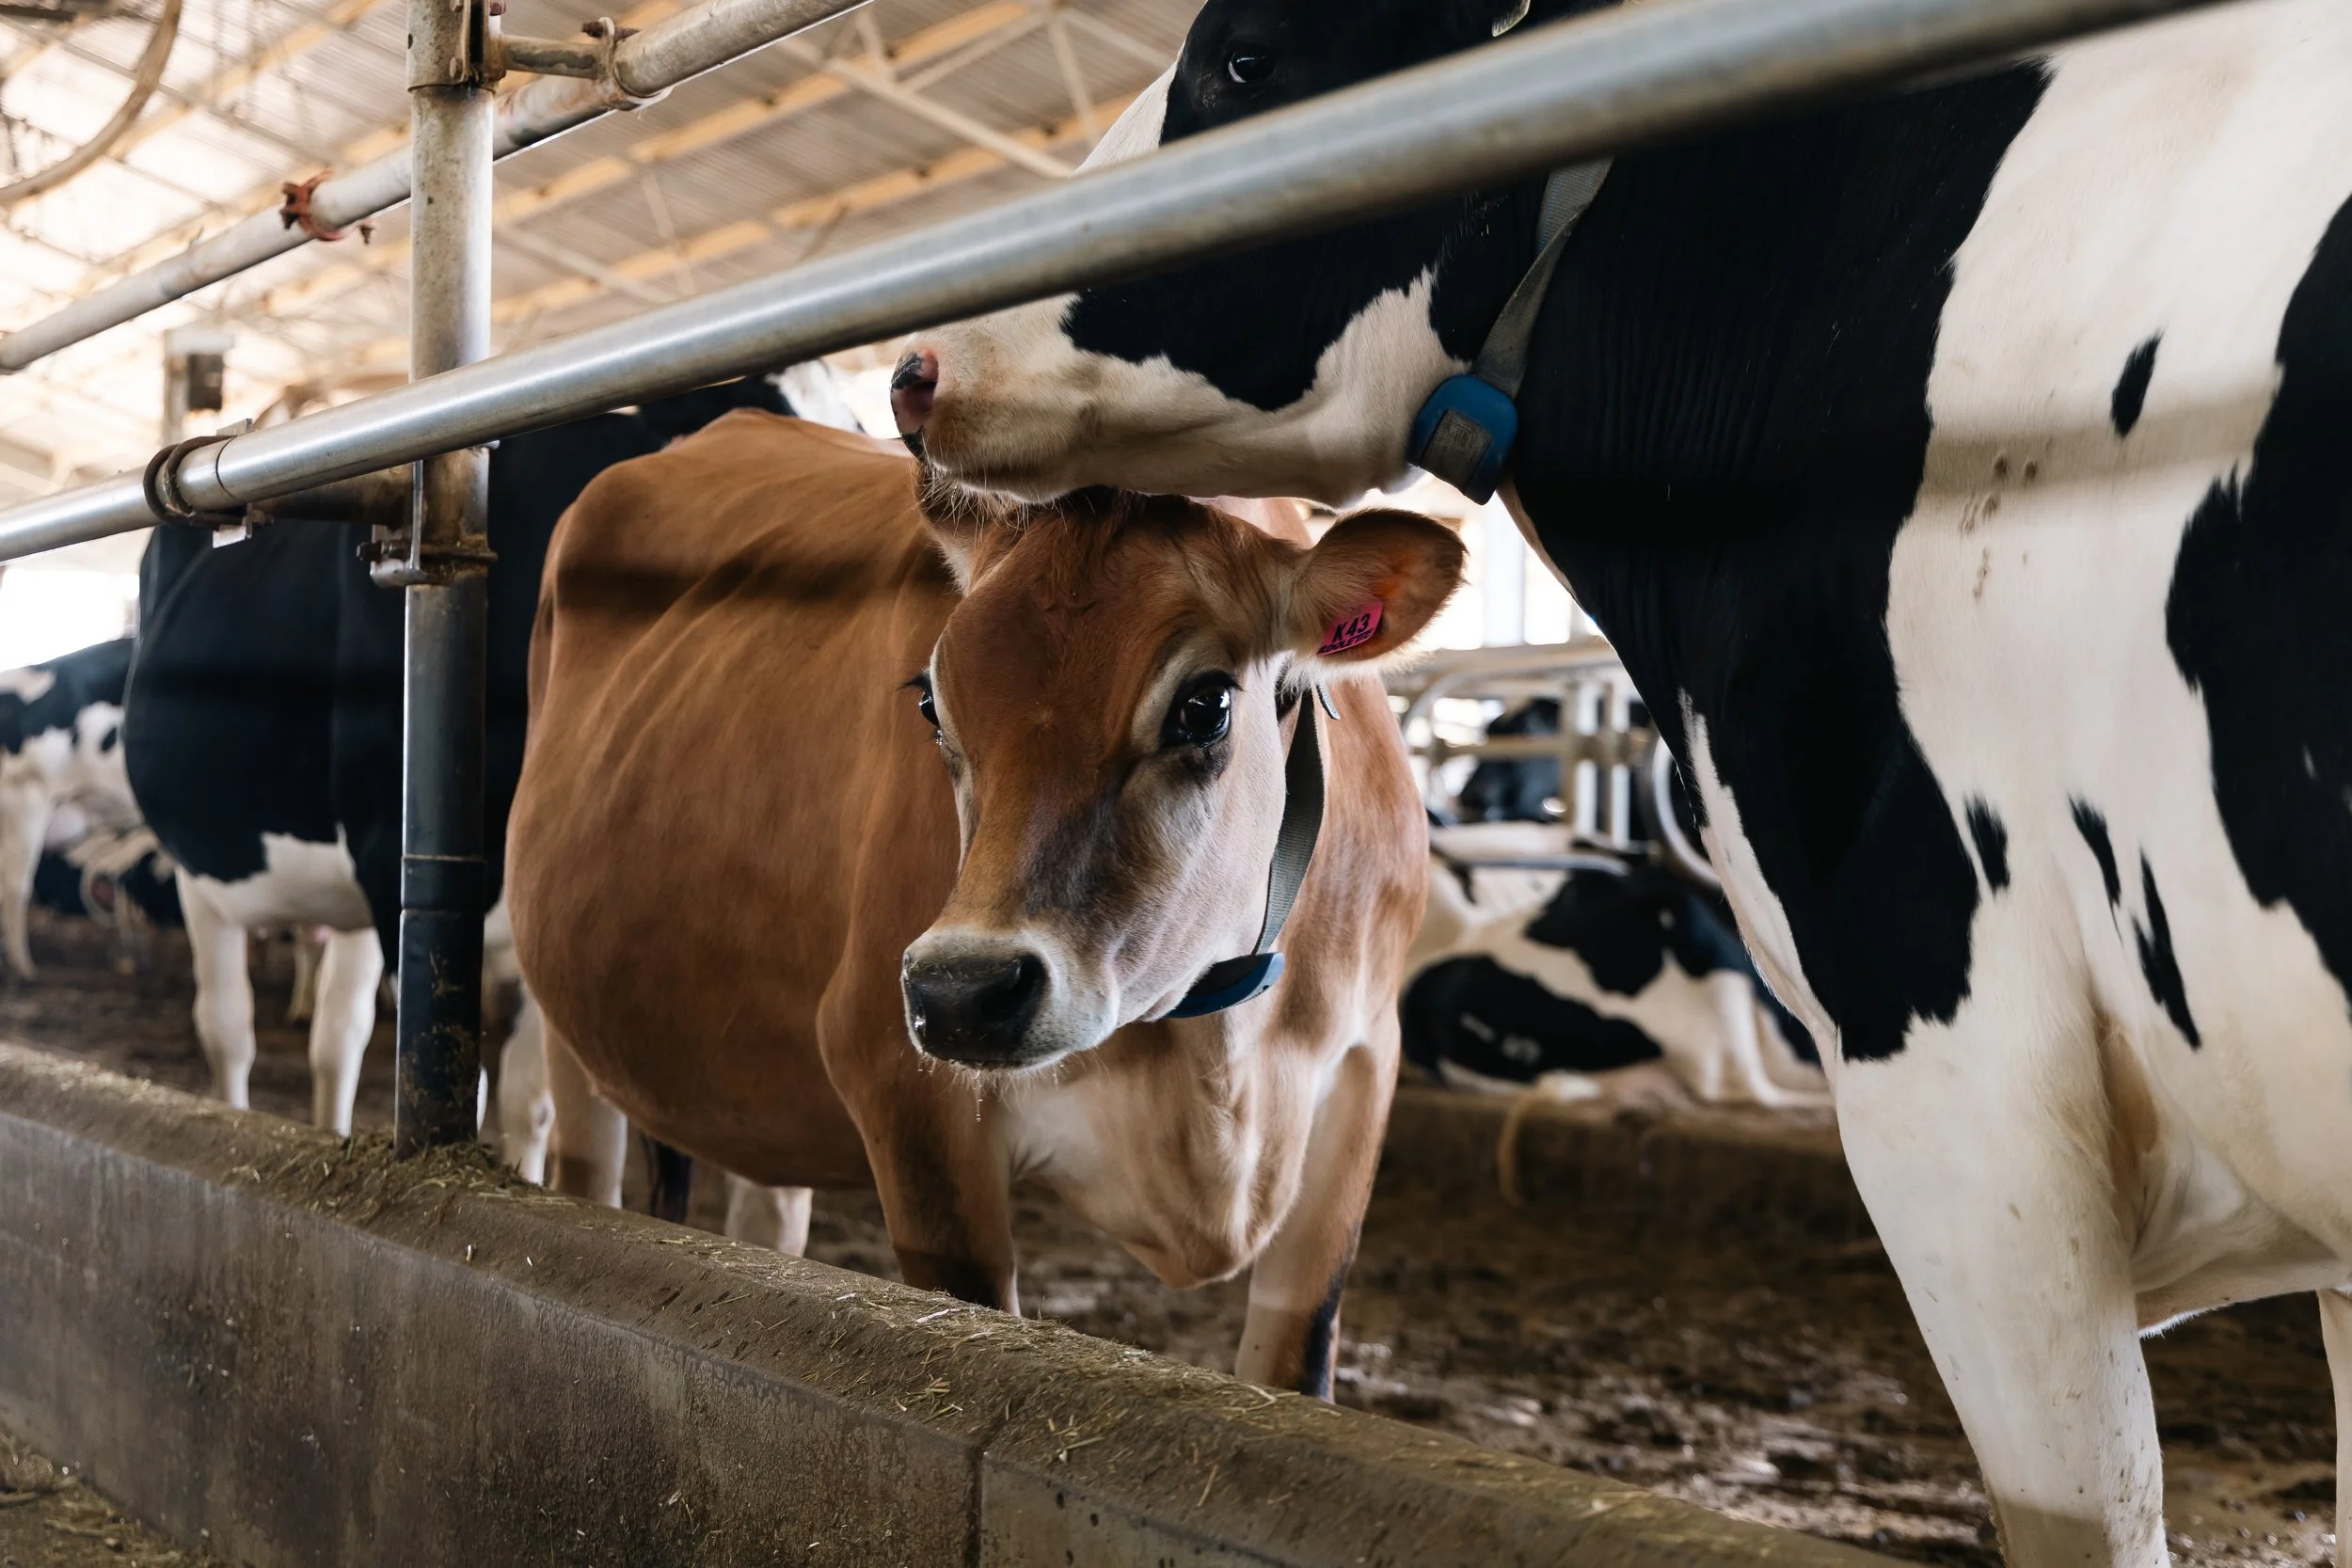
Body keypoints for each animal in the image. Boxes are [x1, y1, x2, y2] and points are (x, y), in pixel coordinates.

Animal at [125, 376, 796, 1137]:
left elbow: (529, 1099)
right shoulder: (392, 854)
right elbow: (454, 1080)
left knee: (337, 1036)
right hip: (201, 870)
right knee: (227, 1028)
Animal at [507, 413, 1459, 1395]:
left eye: (1204, 704)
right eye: (932, 703)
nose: (961, 991)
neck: (1216, 1053)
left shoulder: (1361, 1075)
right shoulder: (903, 1087)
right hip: (569, 1025)